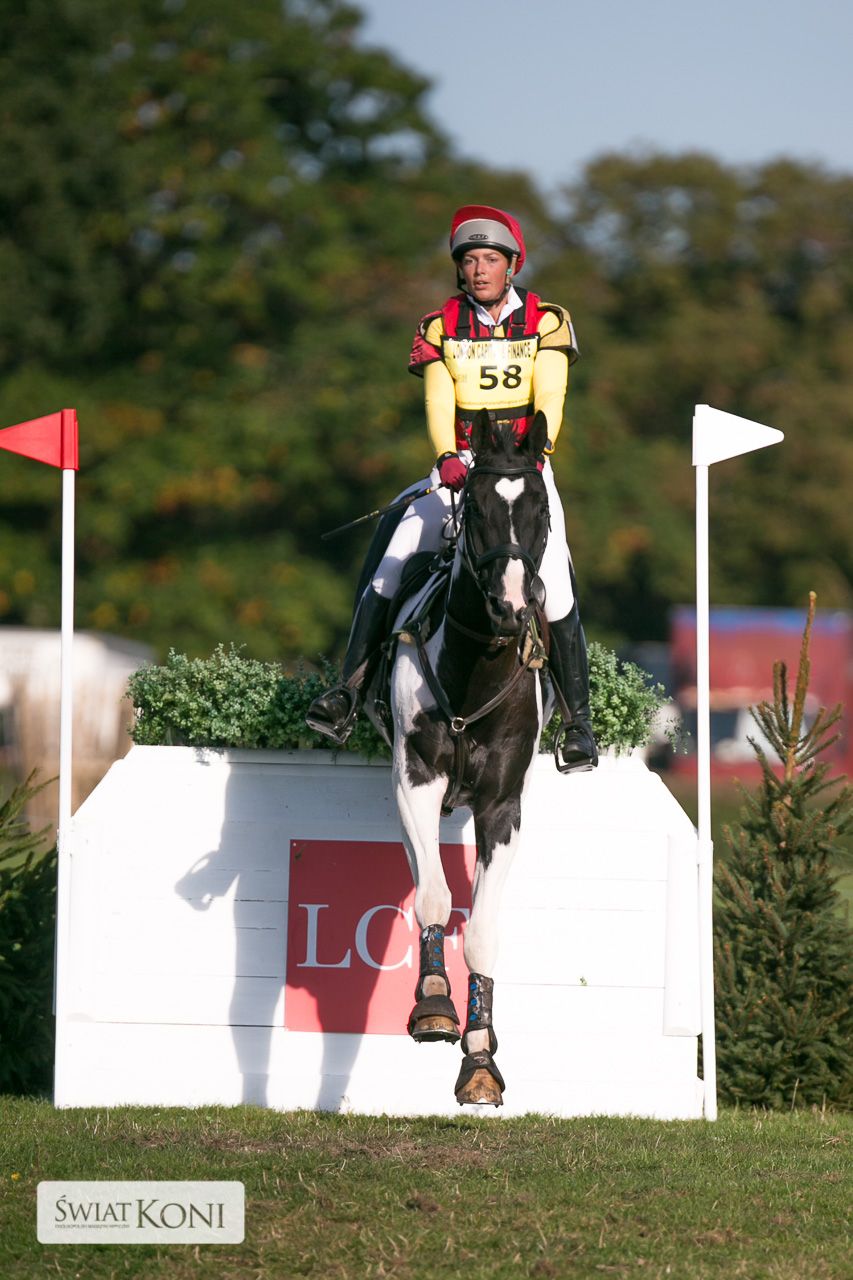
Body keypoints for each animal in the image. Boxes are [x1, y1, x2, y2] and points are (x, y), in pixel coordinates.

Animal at [364, 409, 553, 1106]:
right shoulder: (415, 782)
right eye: (475, 509)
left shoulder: (502, 809)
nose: (510, 606)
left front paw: (479, 1058)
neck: (478, 672)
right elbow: (436, 899)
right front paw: (433, 1005)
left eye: (540, 511)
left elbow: (482, 931)